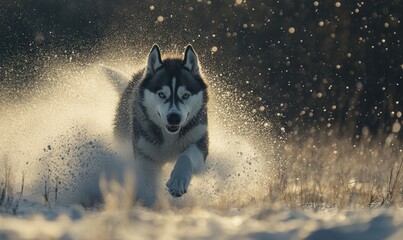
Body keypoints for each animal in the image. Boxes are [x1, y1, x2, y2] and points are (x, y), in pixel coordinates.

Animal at [113, 45, 208, 206]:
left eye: (186, 95)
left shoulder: (199, 142)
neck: (170, 137)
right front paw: (149, 200)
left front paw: (178, 181)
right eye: (162, 94)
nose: (174, 117)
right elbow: (148, 181)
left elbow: (186, 157)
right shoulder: (146, 156)